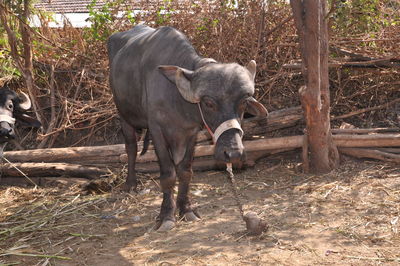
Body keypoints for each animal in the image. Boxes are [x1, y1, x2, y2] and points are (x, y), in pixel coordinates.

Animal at [108, 25, 268, 231]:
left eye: (243, 102)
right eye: (208, 103)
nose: (233, 154)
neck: (176, 98)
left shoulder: (190, 133)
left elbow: (185, 171)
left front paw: (186, 209)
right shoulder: (157, 130)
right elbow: (168, 174)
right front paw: (166, 216)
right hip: (124, 116)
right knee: (131, 148)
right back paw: (130, 184)